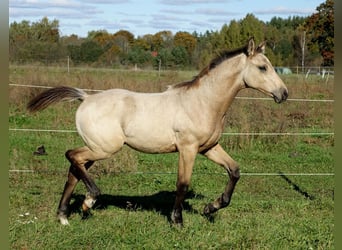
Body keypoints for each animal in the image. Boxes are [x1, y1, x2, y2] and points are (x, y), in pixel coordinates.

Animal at [28, 37, 288, 227]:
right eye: (262, 67)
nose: (283, 94)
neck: (203, 102)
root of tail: (86, 97)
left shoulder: (209, 148)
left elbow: (234, 171)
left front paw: (210, 208)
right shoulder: (188, 149)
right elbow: (182, 184)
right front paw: (177, 222)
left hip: (96, 148)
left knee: (74, 170)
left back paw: (64, 215)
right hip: (104, 148)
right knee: (71, 156)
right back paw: (90, 199)